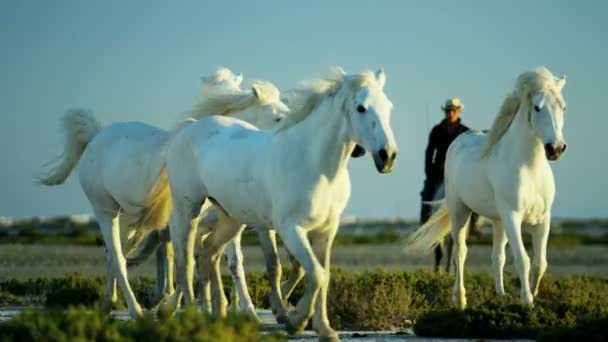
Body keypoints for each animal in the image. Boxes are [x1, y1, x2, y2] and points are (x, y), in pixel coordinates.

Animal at [38, 69, 290, 318]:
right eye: (278, 117)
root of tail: (97, 135)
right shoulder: (186, 222)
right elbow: (189, 261)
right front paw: (172, 306)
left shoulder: (224, 221)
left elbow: (230, 262)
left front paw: (243, 310)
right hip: (105, 210)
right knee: (118, 258)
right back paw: (136, 310)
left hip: (130, 222)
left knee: (116, 255)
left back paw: (108, 303)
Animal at [163, 67, 400, 340]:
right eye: (360, 107)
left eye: (389, 106)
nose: (387, 156)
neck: (314, 164)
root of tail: (189, 128)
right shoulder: (289, 228)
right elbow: (313, 273)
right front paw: (294, 320)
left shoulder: (326, 231)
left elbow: (322, 274)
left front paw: (323, 328)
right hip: (188, 210)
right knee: (186, 261)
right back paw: (190, 315)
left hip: (231, 219)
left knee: (208, 254)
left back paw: (218, 315)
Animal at [406, 67, 568, 310]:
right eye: (537, 107)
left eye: (563, 106)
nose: (556, 149)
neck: (529, 167)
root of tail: (460, 140)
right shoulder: (512, 216)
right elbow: (523, 259)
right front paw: (527, 301)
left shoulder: (542, 219)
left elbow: (540, 263)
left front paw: (534, 294)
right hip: (460, 212)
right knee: (460, 253)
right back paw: (460, 299)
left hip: (497, 221)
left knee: (497, 256)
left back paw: (500, 295)